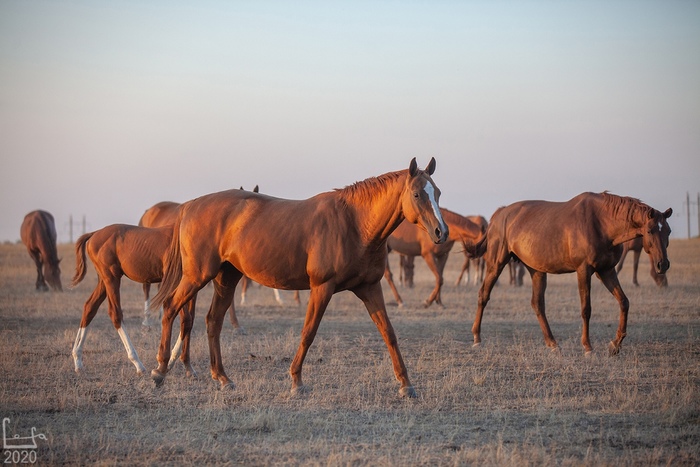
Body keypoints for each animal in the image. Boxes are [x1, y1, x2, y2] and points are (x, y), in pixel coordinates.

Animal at [71, 224, 196, 376]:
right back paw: (138, 364)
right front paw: (170, 362)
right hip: (111, 278)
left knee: (89, 307)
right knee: (115, 314)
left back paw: (77, 360)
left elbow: (188, 320)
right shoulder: (176, 282)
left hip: (103, 281)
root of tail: (94, 234)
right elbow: (186, 319)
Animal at [150, 159, 452, 396]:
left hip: (226, 278)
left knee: (213, 321)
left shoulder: (369, 288)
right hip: (198, 276)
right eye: (417, 194)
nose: (441, 232)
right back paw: (160, 370)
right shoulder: (322, 288)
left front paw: (406, 384)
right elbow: (309, 332)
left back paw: (222, 378)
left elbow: (389, 333)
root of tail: (189, 206)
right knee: (170, 308)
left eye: (437, 192)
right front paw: (296, 381)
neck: (354, 224)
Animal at [470, 192, 672, 356]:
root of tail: (500, 214)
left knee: (537, 304)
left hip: (536, 271)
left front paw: (615, 344)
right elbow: (586, 309)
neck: (601, 223)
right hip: (496, 264)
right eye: (650, 230)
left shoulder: (606, 270)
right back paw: (477, 338)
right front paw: (588, 347)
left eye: (668, 231)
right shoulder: (584, 270)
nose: (663, 264)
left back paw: (552, 343)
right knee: (483, 295)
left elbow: (624, 302)